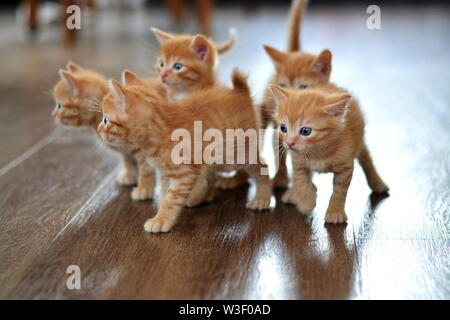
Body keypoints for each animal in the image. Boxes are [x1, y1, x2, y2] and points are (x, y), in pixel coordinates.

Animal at [52, 61, 164, 199]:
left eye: (59, 105)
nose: (53, 114)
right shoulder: (126, 151)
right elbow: (128, 161)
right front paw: (130, 176)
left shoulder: (145, 148)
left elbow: (146, 169)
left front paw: (144, 189)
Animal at [99, 69, 272, 232]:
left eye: (106, 119)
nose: (99, 129)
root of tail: (241, 92)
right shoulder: (166, 173)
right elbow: (165, 194)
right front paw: (162, 212)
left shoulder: (184, 175)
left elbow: (171, 200)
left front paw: (161, 220)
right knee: (210, 176)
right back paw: (201, 197)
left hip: (237, 156)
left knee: (263, 168)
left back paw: (262, 198)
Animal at [268, 82, 388, 222]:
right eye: (283, 128)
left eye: (305, 131)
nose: (289, 143)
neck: (318, 153)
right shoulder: (298, 162)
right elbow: (300, 181)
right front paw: (305, 202)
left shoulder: (346, 168)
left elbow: (339, 192)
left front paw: (335, 212)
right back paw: (296, 193)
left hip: (359, 141)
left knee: (366, 158)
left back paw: (377, 183)